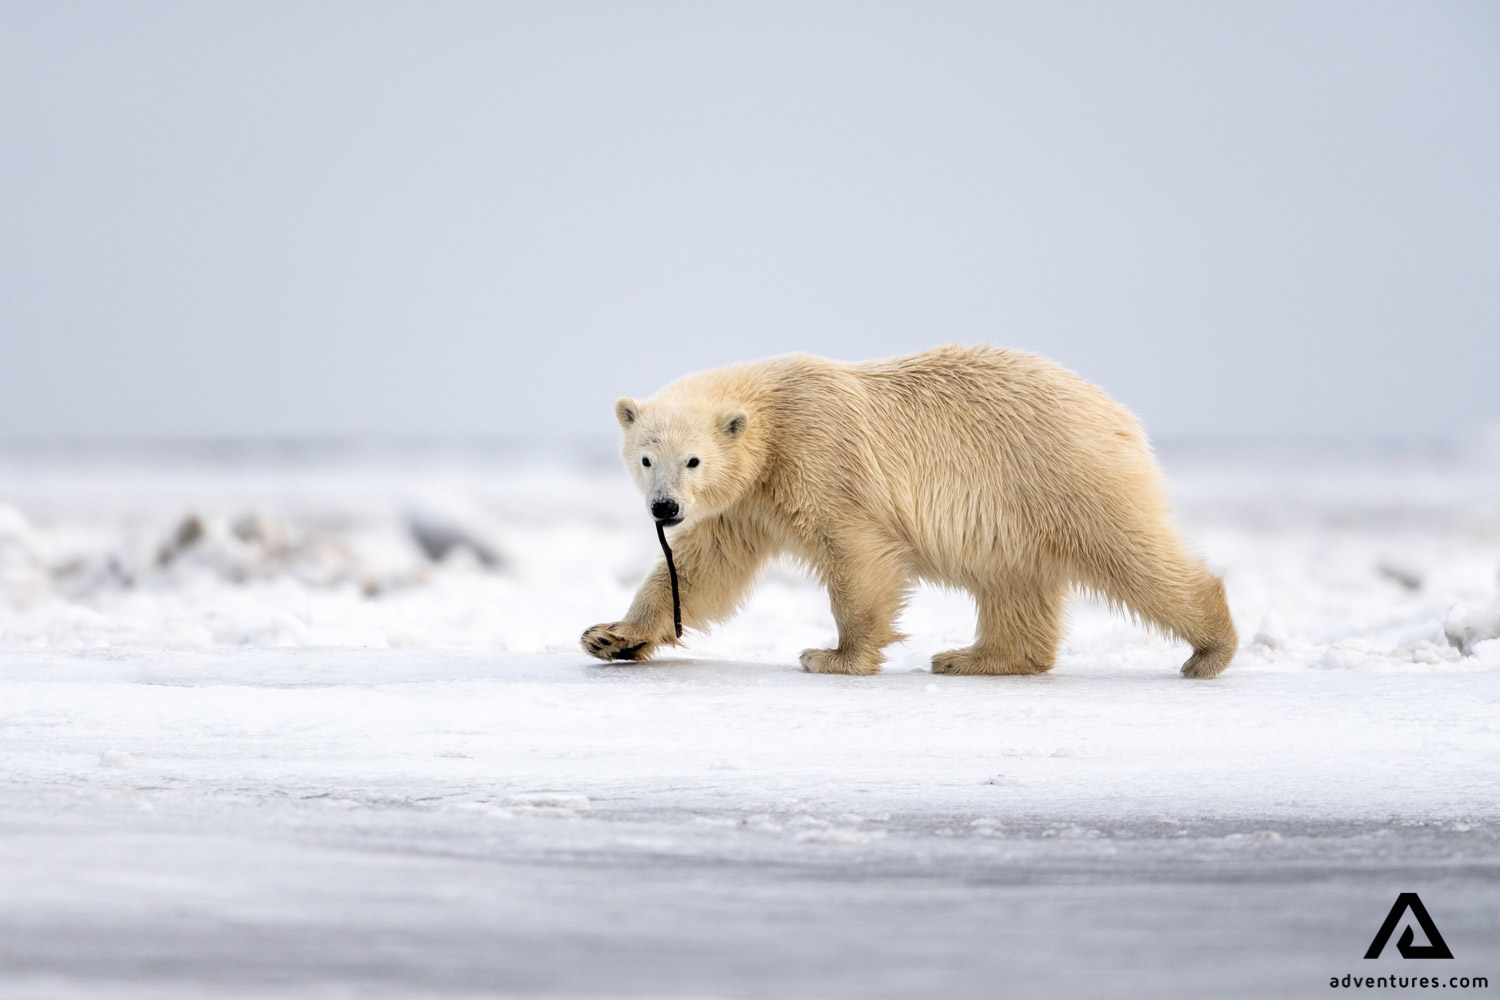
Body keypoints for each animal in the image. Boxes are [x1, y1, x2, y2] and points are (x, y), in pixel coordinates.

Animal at [581, 345, 1237, 678]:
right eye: (645, 457)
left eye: (693, 460)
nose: (665, 507)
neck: (774, 419)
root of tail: (1116, 413)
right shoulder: (747, 502)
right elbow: (702, 568)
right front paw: (610, 636)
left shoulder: (821, 456)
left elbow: (855, 551)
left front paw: (833, 656)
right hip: (1020, 511)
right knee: (1014, 581)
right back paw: (975, 657)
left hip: (1061, 471)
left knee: (1130, 552)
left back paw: (1210, 650)